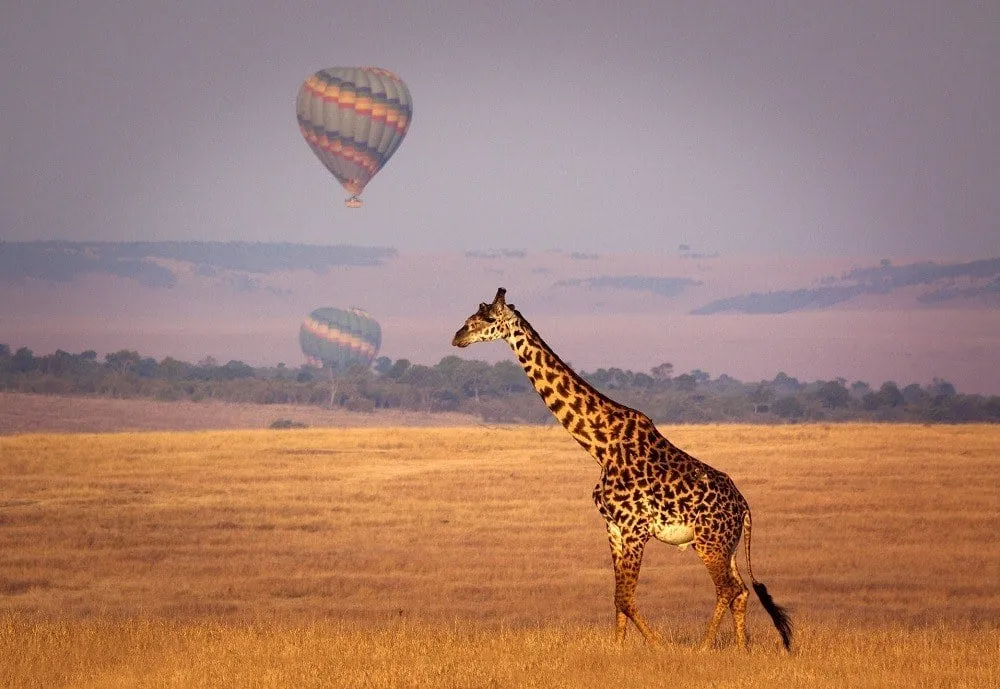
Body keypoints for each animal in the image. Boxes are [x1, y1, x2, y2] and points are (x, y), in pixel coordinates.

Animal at [452, 286, 788, 652]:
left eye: (487, 318)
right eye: (471, 315)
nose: (458, 337)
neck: (601, 446)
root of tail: (744, 507)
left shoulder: (635, 527)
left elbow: (626, 598)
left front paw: (659, 647)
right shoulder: (612, 526)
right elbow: (617, 598)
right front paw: (618, 649)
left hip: (708, 542)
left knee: (727, 589)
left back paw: (702, 648)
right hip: (727, 546)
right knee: (740, 591)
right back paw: (741, 648)